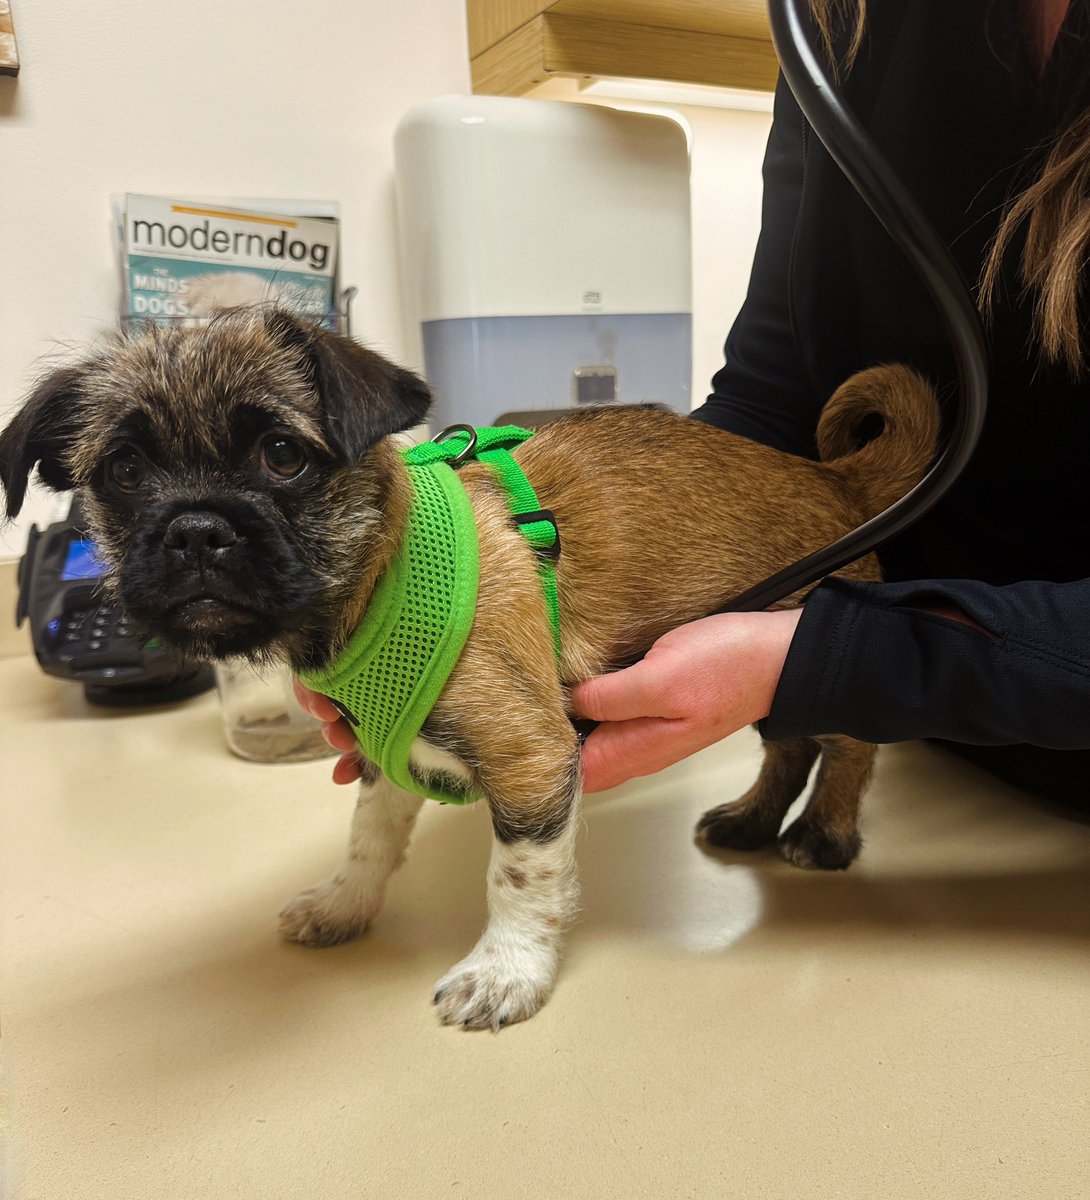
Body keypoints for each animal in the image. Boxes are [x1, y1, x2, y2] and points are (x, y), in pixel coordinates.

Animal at [0, 309, 936, 1032]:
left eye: (281, 454)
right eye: (123, 472)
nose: (196, 530)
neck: (374, 581)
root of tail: (835, 477)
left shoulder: (531, 762)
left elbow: (517, 876)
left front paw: (506, 971)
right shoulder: (383, 751)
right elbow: (370, 838)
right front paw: (346, 904)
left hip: (800, 644)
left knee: (848, 746)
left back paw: (824, 833)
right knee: (788, 746)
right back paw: (752, 819)